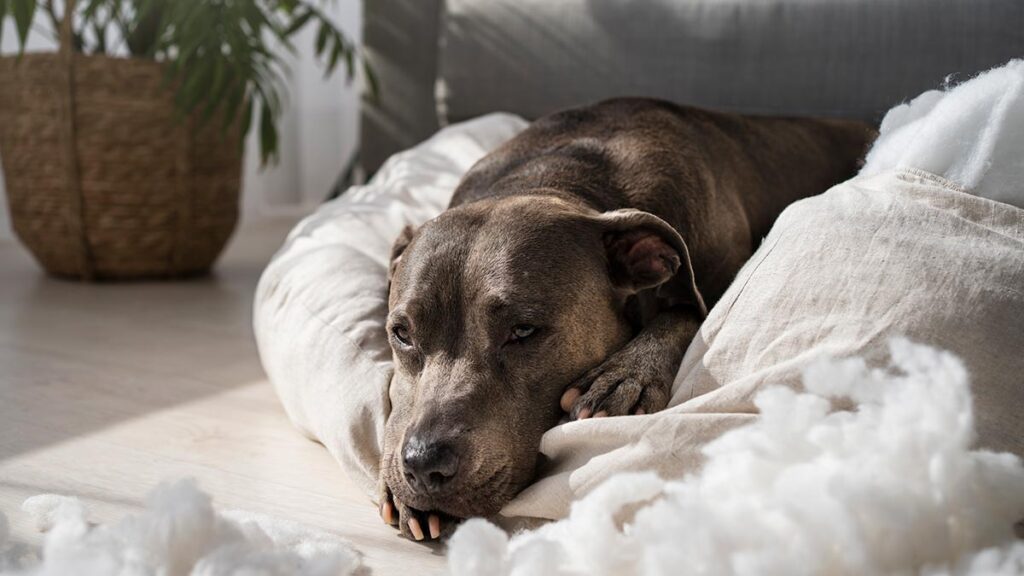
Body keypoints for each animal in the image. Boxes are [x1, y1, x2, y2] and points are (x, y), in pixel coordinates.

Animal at [376, 96, 872, 541]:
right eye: (402, 335)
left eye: (523, 330)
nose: (423, 463)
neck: (554, 178)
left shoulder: (712, 279)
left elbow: (683, 313)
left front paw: (625, 377)